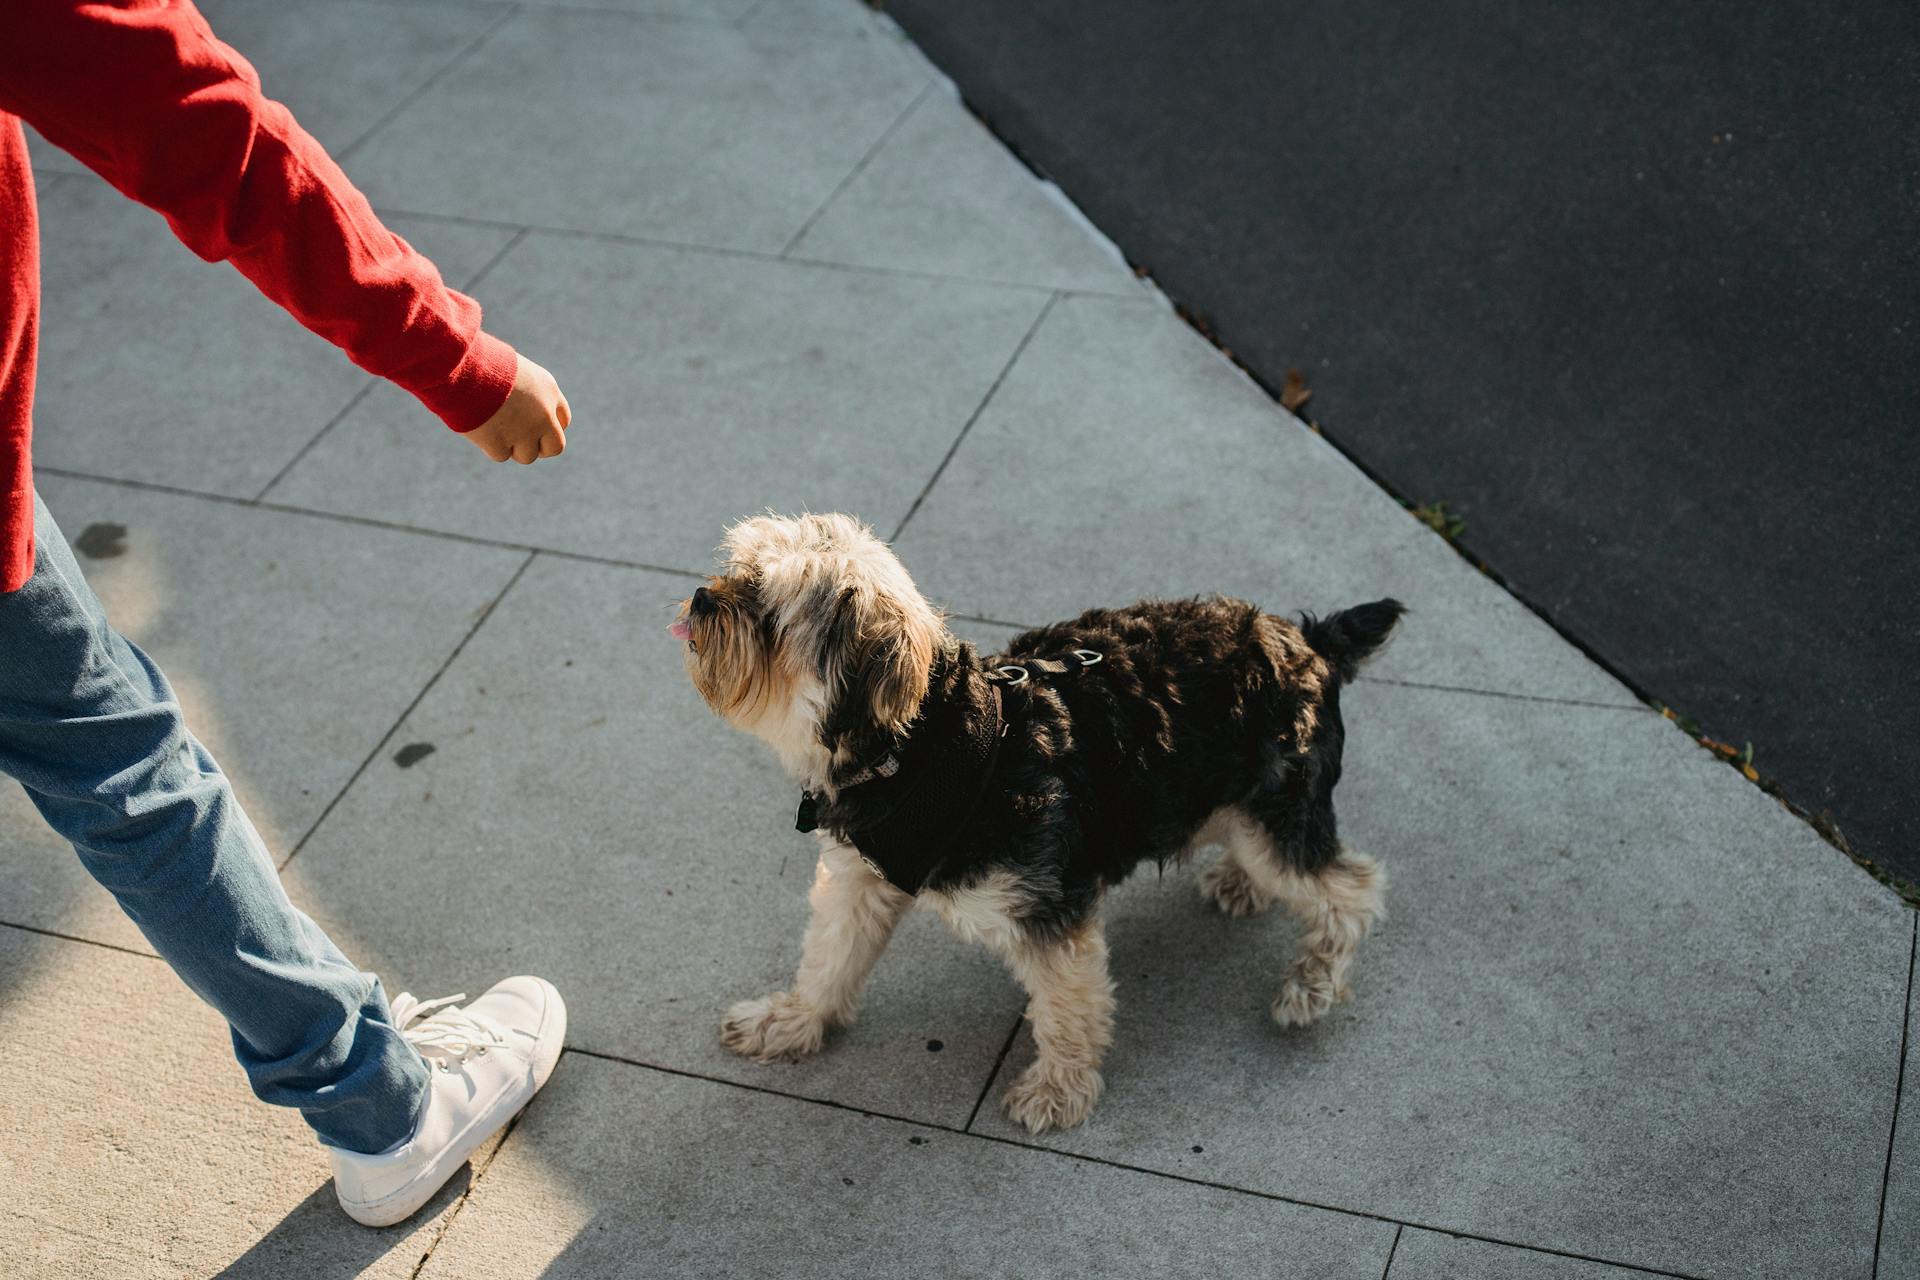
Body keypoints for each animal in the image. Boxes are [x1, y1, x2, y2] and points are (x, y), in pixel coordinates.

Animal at [672, 510, 1397, 1128]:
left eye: (766, 611)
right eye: (738, 569)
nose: (703, 597)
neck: (924, 744)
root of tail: (1310, 641)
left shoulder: (1049, 914)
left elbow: (1067, 1009)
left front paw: (1059, 1089)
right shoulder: (860, 880)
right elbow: (829, 958)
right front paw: (791, 1022)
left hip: (1276, 812)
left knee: (1349, 888)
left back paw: (1313, 983)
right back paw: (1240, 882)